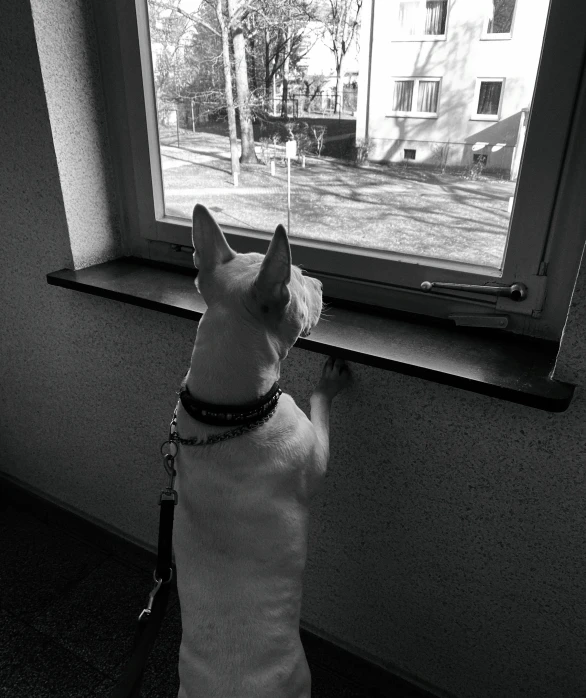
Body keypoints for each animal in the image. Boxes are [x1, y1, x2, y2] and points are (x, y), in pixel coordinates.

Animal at [171, 205, 350, 696]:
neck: (227, 415)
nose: (322, 283)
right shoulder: (314, 452)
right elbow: (320, 407)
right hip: (300, 676)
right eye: (300, 279)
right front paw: (329, 381)